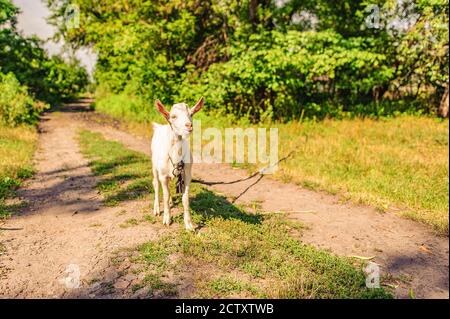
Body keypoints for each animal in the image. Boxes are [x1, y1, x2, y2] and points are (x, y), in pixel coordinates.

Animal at [151, 96, 204, 231]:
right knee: (156, 184)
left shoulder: (187, 175)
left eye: (191, 114)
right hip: (154, 165)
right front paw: (167, 219)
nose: (189, 125)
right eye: (173, 116)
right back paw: (157, 209)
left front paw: (189, 224)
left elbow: (185, 199)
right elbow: (165, 195)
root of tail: (160, 127)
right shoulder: (163, 175)